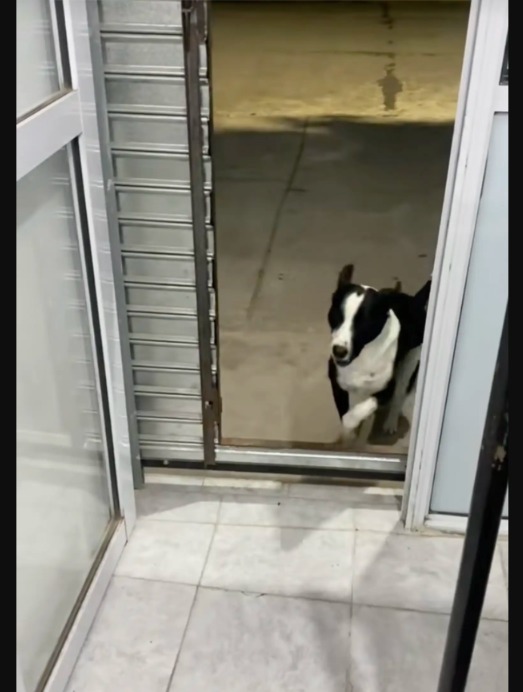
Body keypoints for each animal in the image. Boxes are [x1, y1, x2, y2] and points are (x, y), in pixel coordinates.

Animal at [327, 264, 431, 443]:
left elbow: (356, 413)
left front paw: (352, 424)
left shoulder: (386, 390)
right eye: (336, 316)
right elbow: (345, 412)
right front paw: (348, 435)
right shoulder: (338, 385)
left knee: (399, 396)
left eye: (364, 322)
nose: (339, 351)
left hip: (409, 364)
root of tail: (412, 300)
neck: (363, 355)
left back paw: (390, 423)